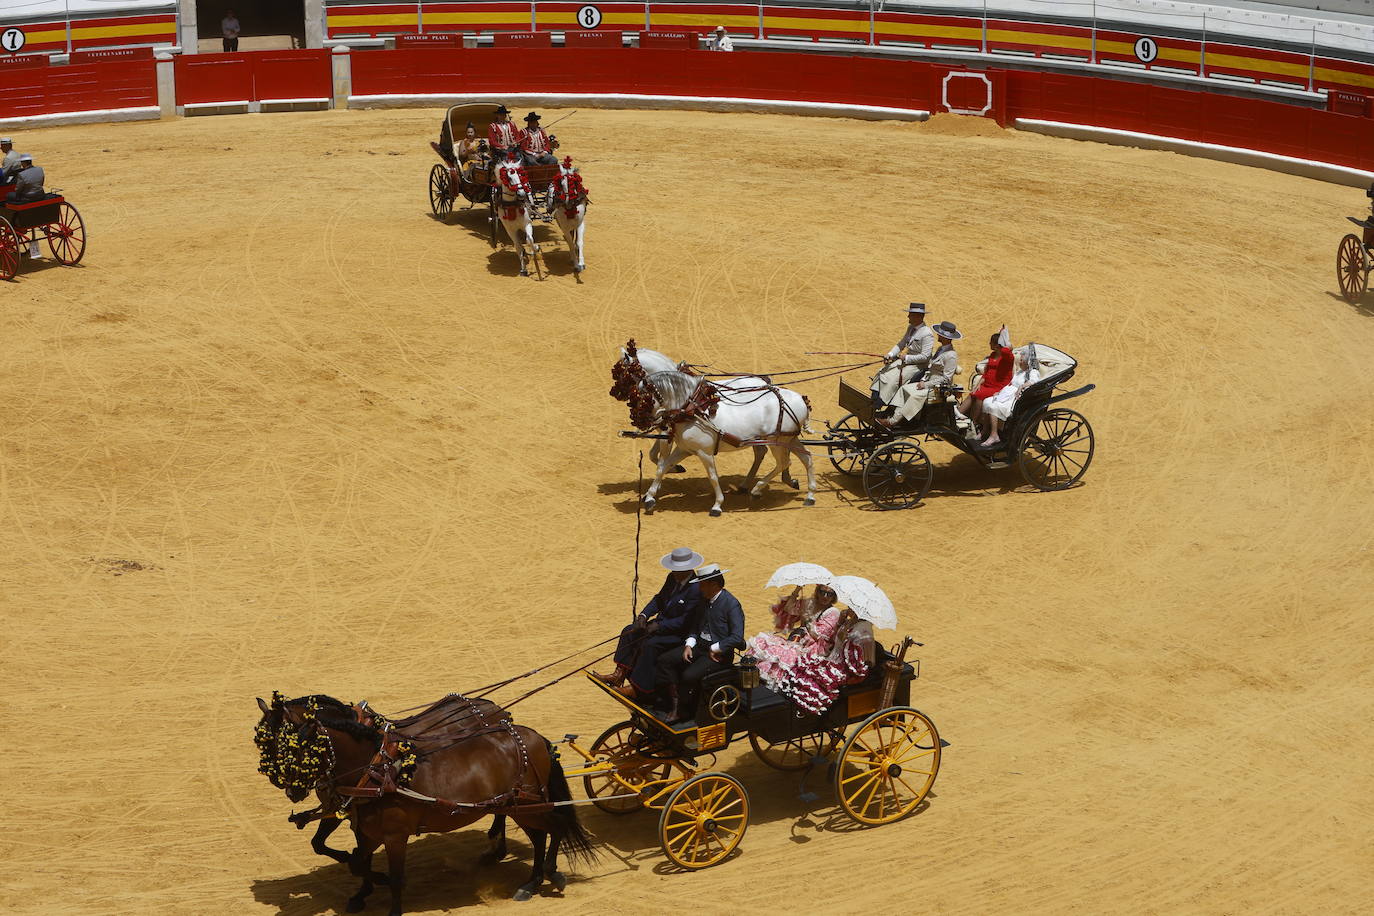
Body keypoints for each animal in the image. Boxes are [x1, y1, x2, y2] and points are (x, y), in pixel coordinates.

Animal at [255, 692, 593, 911]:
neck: (376, 770)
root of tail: (533, 737)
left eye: (291, 745)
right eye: (264, 741)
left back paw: (544, 873)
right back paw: (526, 876)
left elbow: (391, 876)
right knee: (540, 834)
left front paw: (386, 896)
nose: (287, 787)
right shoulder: (359, 825)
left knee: (554, 828)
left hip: (527, 804)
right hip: (520, 805)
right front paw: (364, 890)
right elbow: (353, 860)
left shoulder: (394, 836)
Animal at [632, 368, 813, 519]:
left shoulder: (704, 452)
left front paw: (717, 505)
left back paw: (756, 490)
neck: (692, 411)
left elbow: (713, 477)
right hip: (789, 439)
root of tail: (800, 399)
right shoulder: (685, 449)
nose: (637, 421)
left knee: (784, 462)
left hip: (778, 441)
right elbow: (662, 468)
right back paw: (810, 495)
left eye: (643, 397)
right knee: (807, 458)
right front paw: (649, 498)